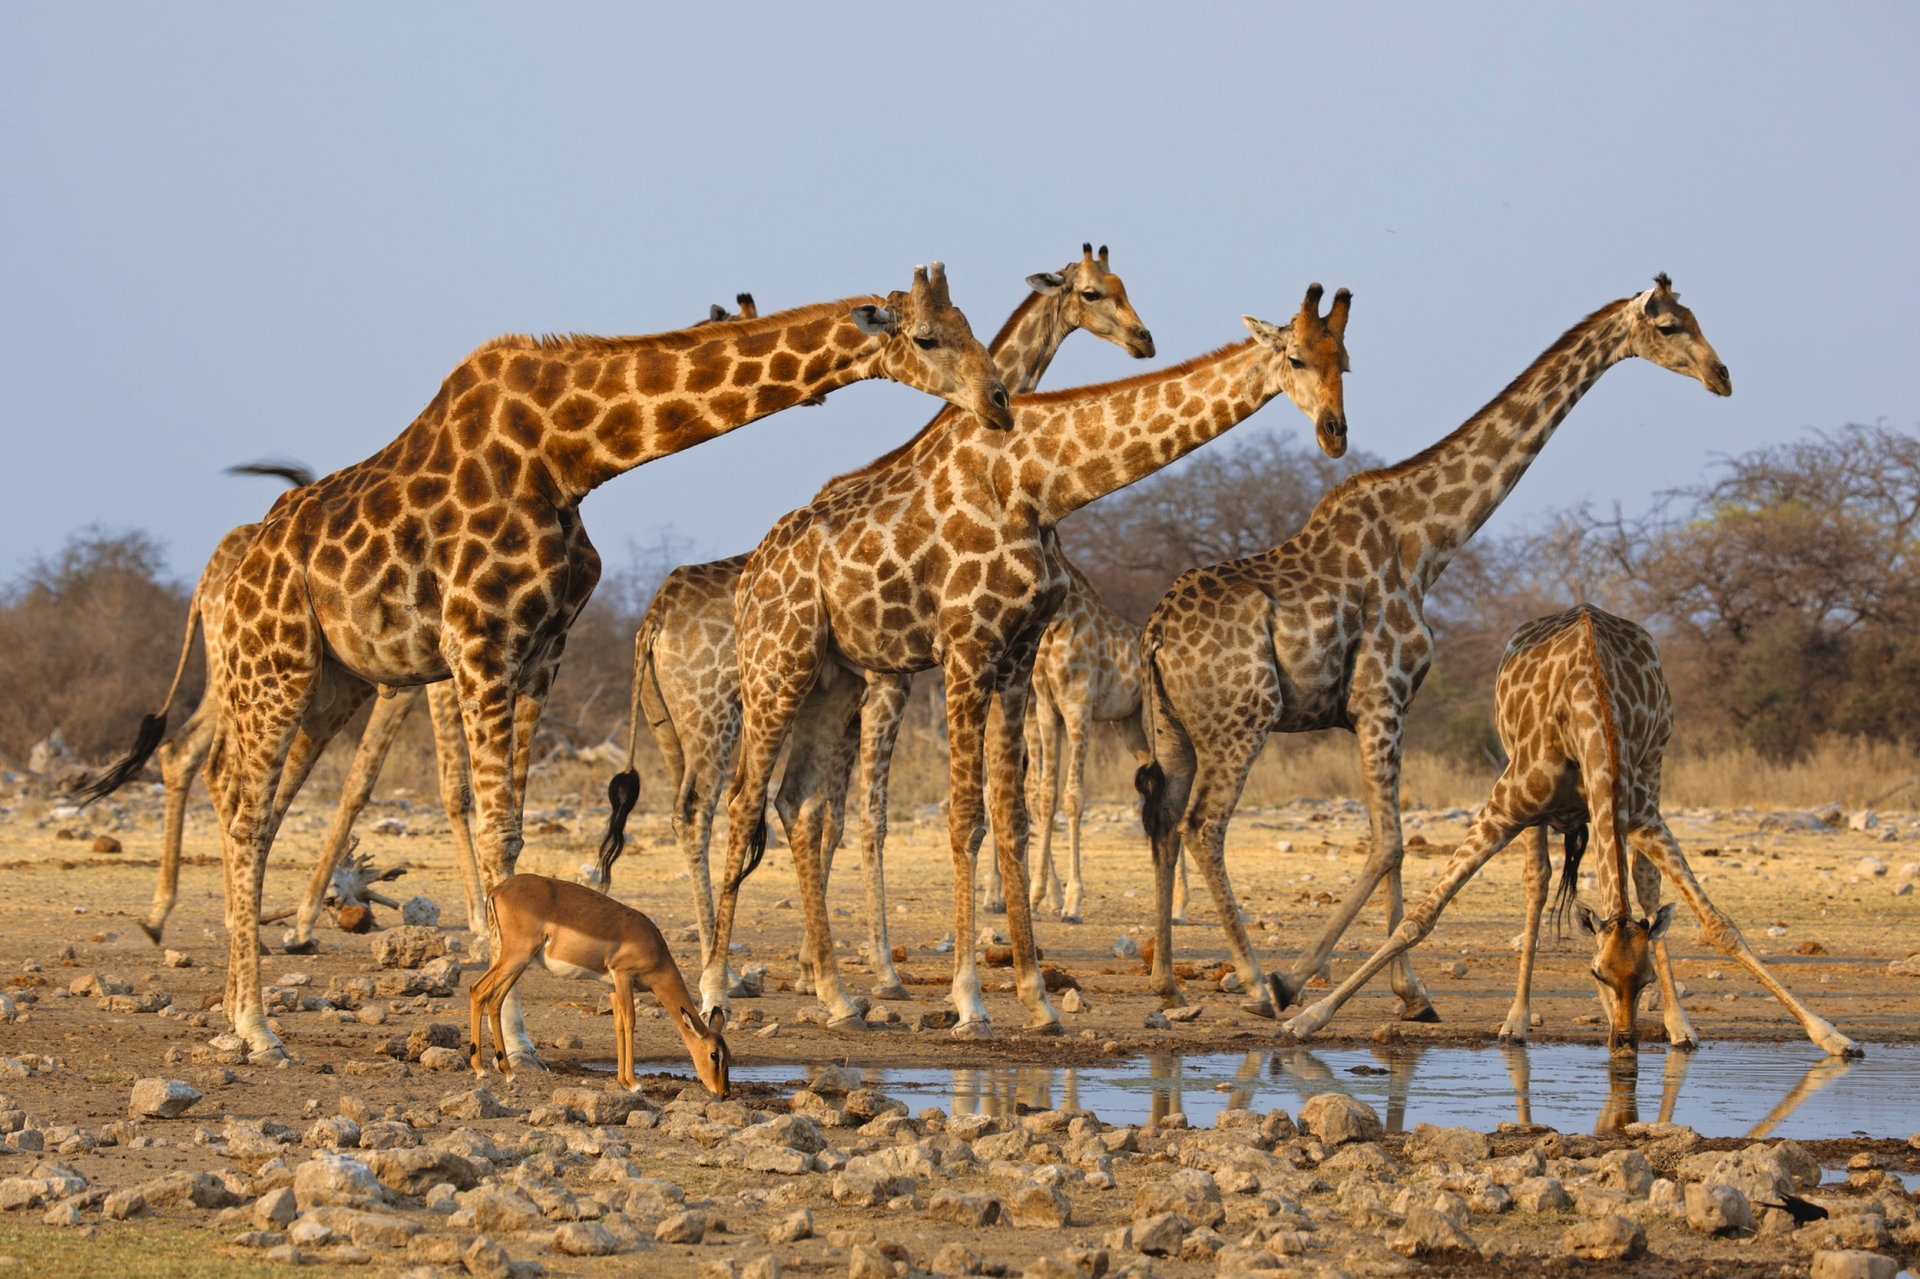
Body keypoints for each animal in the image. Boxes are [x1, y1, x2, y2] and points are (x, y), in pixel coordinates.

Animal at [93, 266, 1012, 1063]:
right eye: (927, 336)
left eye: (971, 326)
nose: (998, 400)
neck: (571, 454)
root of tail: (224, 582)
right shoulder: (479, 643)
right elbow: (495, 829)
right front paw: (515, 1038)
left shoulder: (541, 654)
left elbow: (515, 832)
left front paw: (515, 1035)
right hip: (273, 662)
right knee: (245, 805)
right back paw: (256, 1026)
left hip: (328, 680)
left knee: (241, 793)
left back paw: (235, 1007)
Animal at [602, 246, 1157, 998]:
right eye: (1095, 293)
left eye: (1126, 287)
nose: (1143, 340)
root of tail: (653, 618)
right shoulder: (888, 683)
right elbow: (860, 819)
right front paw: (876, 968)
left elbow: (829, 817)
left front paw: (823, 967)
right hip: (718, 712)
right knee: (704, 811)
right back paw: (718, 968)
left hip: (672, 725)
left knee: (690, 811)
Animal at [704, 282, 1354, 1037]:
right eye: (1295, 355)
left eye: (1346, 360)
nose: (1335, 431)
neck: (1037, 482)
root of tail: (751, 574)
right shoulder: (965, 649)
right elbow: (965, 817)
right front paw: (968, 997)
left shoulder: (1015, 661)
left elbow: (1012, 815)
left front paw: (1036, 996)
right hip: (775, 666)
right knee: (745, 800)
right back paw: (717, 989)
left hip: (832, 680)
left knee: (800, 805)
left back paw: (837, 996)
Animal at [1134, 275, 1730, 1021]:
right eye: (1672, 326)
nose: (1722, 376)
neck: (1425, 540)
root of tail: (1154, 632)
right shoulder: (1381, 697)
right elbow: (1390, 844)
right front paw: (1309, 983)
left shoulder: (1383, 709)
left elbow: (1391, 844)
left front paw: (1404, 992)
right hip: (1243, 719)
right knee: (1203, 826)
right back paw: (1250, 981)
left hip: (1173, 726)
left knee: (1163, 820)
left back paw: (1167, 982)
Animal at [1282, 604, 1860, 1059]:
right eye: (1596, 974)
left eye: (1643, 980)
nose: (1625, 1043)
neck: (1587, 715)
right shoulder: (1503, 808)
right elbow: (1421, 918)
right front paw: (1306, 1017)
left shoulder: (1641, 813)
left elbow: (1718, 924)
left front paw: (1831, 1035)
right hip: (1530, 801)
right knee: (1539, 882)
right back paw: (1515, 1021)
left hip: (1651, 774)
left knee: (1639, 889)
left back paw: (1677, 1027)